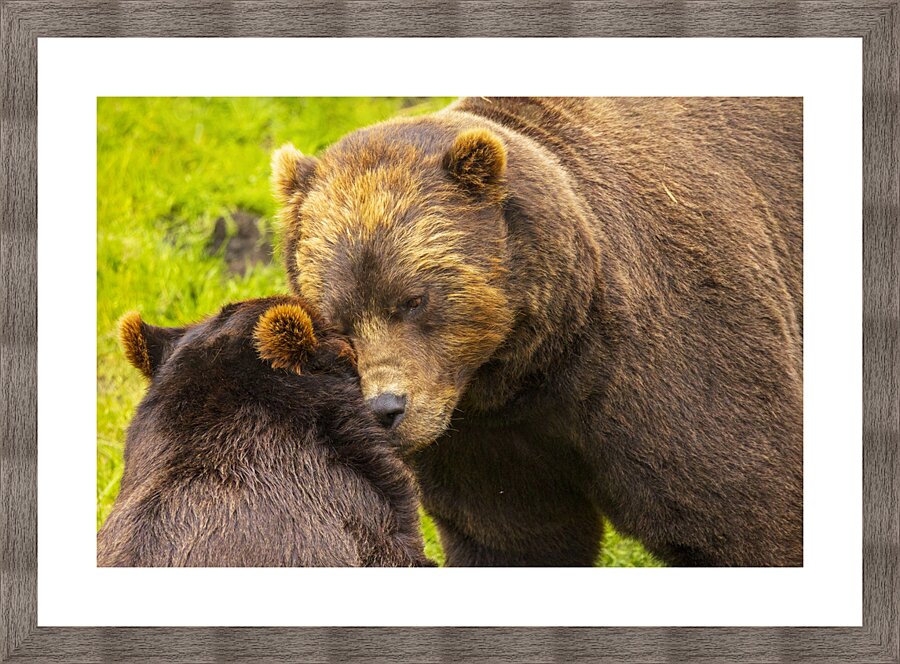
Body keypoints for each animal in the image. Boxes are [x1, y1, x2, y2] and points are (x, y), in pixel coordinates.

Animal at [271, 97, 803, 567]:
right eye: (337, 318)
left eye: (413, 299)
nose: (385, 409)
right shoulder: (483, 438)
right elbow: (515, 537)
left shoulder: (674, 352)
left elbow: (741, 514)